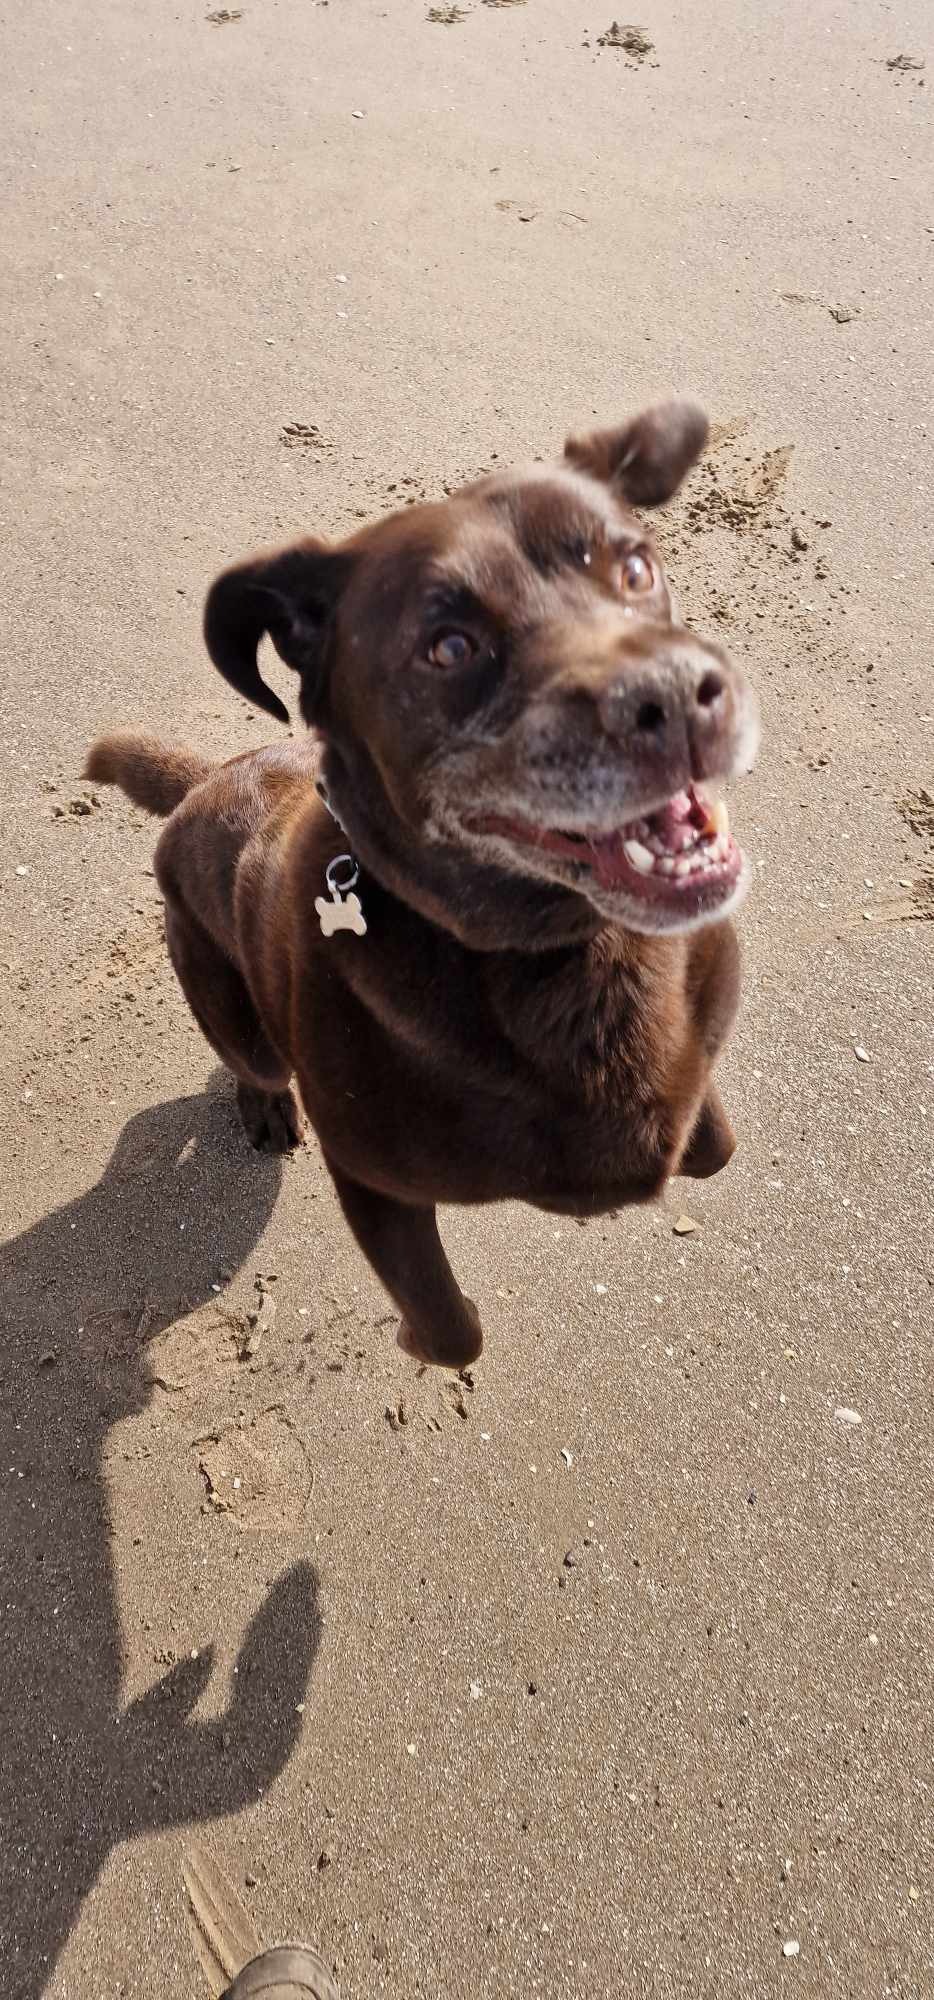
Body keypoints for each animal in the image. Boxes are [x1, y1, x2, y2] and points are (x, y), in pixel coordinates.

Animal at [87, 400, 759, 1368]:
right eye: (448, 647)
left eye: (635, 566)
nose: (676, 695)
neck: (558, 954)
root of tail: (204, 782)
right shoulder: (374, 1184)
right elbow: (449, 1331)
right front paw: (420, 1332)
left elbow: (711, 1143)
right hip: (224, 997)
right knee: (251, 1060)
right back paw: (263, 1105)